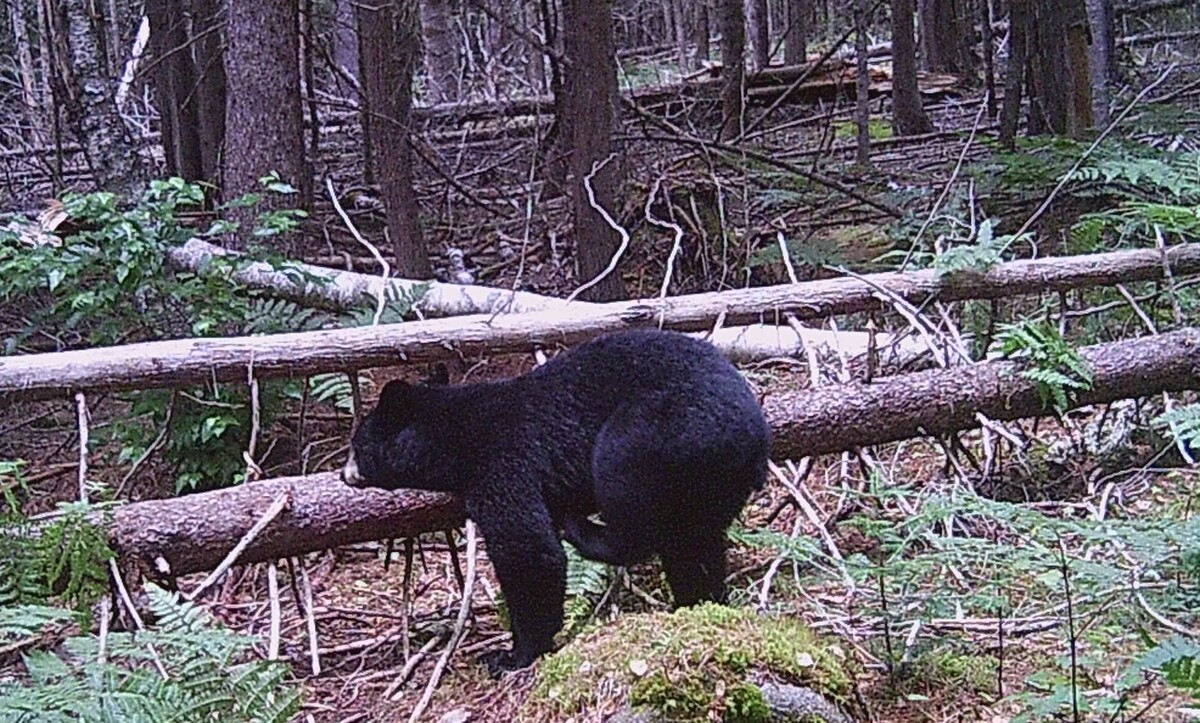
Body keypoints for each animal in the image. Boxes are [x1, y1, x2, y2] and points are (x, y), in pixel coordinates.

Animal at [341, 329, 772, 676]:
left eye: (356, 445)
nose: (344, 475)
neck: (453, 436)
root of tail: (754, 433)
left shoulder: (502, 463)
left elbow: (528, 551)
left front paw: (513, 655)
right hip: (713, 483)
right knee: (695, 543)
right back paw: (698, 601)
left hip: (661, 428)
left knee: (625, 484)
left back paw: (584, 530)